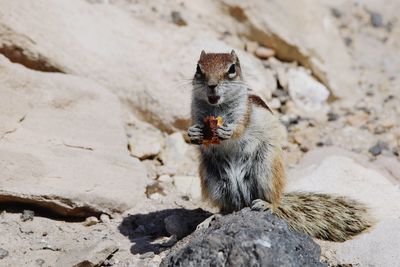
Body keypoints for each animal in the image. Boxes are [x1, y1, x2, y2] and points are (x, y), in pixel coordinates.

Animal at [187, 50, 372, 243]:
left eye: (231, 69)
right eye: (198, 68)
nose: (212, 85)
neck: (216, 108)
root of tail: (246, 202)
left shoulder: (245, 113)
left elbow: (240, 128)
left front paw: (228, 131)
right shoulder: (195, 112)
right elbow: (193, 125)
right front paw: (193, 133)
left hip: (266, 169)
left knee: (272, 200)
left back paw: (266, 205)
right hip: (214, 180)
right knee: (228, 209)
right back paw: (211, 219)